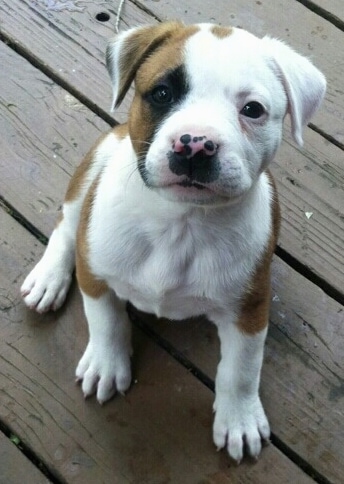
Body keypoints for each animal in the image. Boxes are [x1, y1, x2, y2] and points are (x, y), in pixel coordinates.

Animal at [20, 21, 326, 462]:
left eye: (252, 110)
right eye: (163, 94)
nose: (196, 144)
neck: (182, 223)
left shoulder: (250, 310)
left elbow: (241, 369)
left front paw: (239, 418)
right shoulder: (96, 275)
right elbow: (106, 321)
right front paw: (106, 364)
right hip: (95, 165)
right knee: (66, 226)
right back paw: (48, 279)